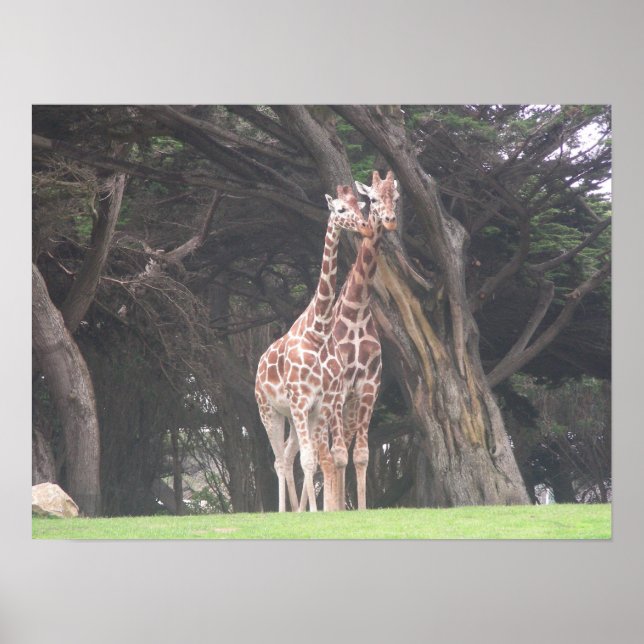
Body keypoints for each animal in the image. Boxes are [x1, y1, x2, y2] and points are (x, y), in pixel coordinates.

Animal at [255, 186, 372, 512]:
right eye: (340, 210)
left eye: (361, 205)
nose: (365, 226)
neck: (318, 332)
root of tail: (258, 366)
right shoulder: (300, 401)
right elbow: (310, 460)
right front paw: (315, 513)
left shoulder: (319, 404)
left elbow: (315, 460)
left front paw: (313, 512)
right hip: (268, 410)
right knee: (279, 460)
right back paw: (283, 512)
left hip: (294, 416)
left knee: (288, 454)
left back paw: (294, 510)